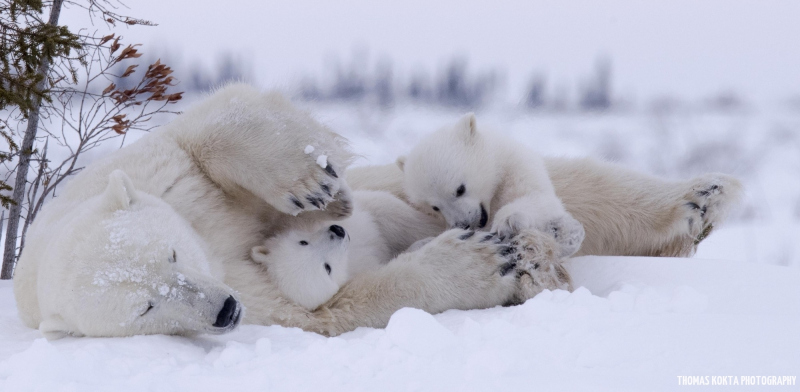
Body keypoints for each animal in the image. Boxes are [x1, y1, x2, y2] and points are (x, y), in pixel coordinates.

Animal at [14, 84, 736, 338]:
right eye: (145, 308)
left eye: (169, 253)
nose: (222, 311)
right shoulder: (262, 297)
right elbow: (331, 308)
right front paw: (481, 266)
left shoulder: (142, 171)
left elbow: (216, 122)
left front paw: (309, 181)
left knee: (562, 178)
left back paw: (699, 200)